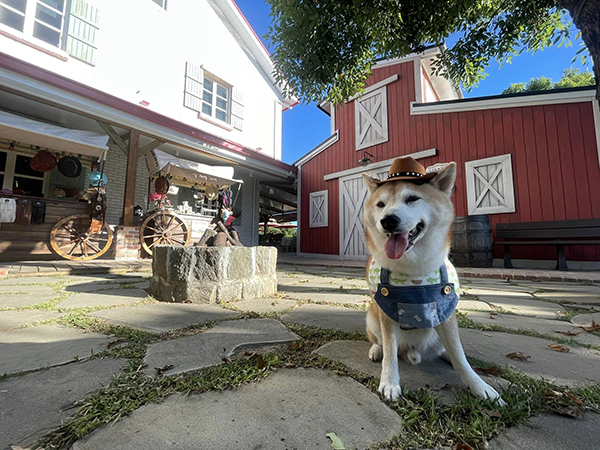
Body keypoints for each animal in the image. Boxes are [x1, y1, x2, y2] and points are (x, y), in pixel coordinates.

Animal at [364, 156, 504, 402]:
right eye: (380, 205)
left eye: (412, 198)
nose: (388, 220)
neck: (414, 269)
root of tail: (410, 350)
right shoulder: (386, 309)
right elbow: (390, 351)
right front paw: (389, 383)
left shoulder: (445, 312)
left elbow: (459, 356)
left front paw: (480, 386)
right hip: (372, 316)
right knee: (380, 342)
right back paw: (376, 350)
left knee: (448, 351)